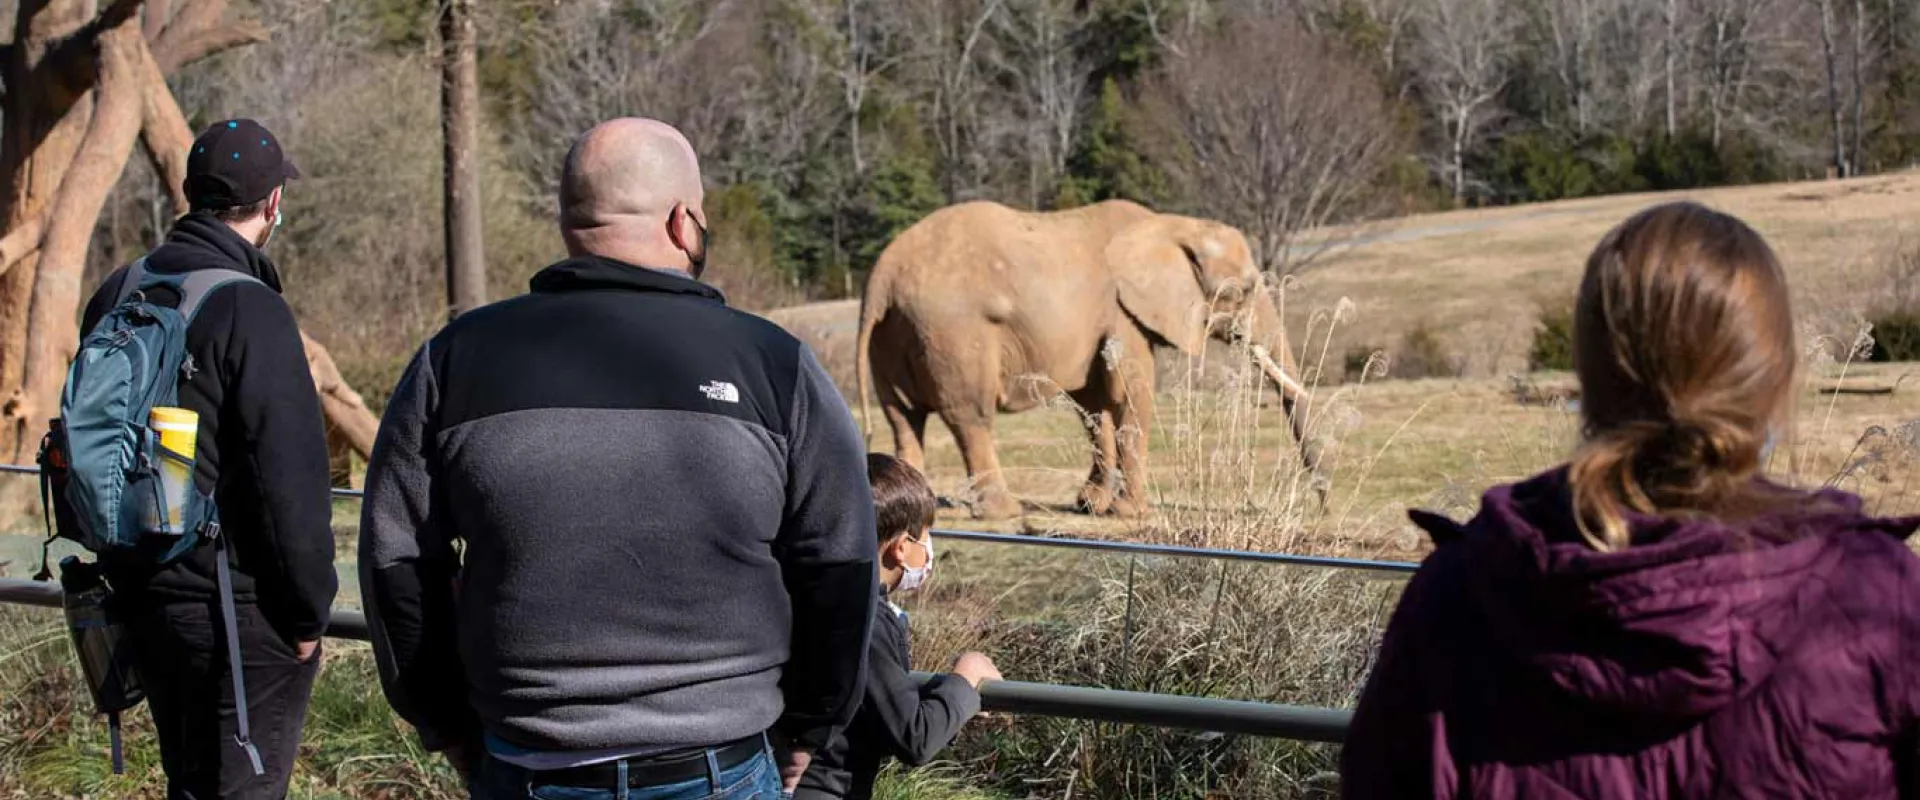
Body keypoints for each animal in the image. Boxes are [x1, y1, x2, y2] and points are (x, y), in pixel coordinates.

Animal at [856, 196, 1320, 514]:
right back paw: (1003, 512)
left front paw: (1092, 506)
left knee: (903, 418)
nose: (1321, 500)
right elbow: (1130, 394)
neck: (1172, 225)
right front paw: (1132, 512)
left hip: (892, 337)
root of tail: (882, 275)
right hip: (951, 333)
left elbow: (1095, 404)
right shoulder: (1122, 314)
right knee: (970, 416)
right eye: (1243, 291)